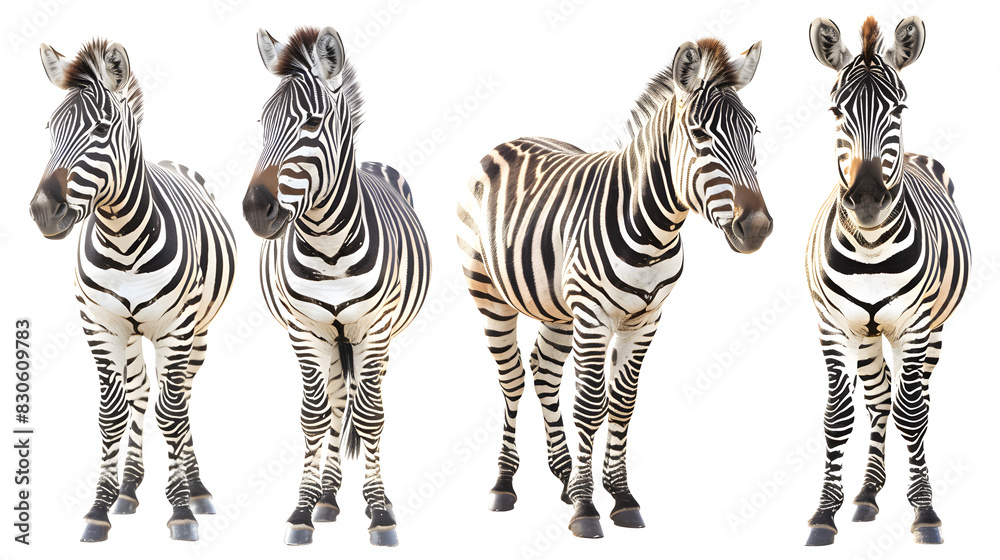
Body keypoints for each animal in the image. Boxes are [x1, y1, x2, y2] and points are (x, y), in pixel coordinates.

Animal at [28, 39, 237, 542]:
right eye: (49, 129)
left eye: (102, 130)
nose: (43, 210)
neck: (122, 239)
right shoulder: (99, 325)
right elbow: (113, 413)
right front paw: (99, 508)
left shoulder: (176, 328)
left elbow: (172, 412)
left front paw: (181, 511)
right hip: (130, 333)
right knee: (142, 391)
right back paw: (128, 489)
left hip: (198, 331)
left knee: (180, 396)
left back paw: (196, 488)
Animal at [242, 27, 431, 547]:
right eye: (262, 122)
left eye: (313, 122)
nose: (256, 210)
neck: (328, 246)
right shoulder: (305, 329)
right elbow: (315, 415)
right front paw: (302, 511)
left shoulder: (375, 327)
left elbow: (371, 417)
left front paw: (381, 513)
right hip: (331, 337)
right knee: (336, 399)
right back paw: (327, 498)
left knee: (367, 401)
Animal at [457, 38, 772, 538]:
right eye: (699, 136)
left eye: (753, 132)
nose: (757, 228)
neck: (654, 229)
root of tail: (512, 139)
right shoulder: (594, 316)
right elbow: (590, 404)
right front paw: (587, 509)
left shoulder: (645, 320)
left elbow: (622, 405)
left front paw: (620, 497)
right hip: (490, 295)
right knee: (512, 378)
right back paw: (505, 485)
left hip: (556, 308)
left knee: (544, 371)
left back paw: (565, 475)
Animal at [804, 16, 970, 546]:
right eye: (836, 110)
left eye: (898, 108)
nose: (867, 200)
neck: (871, 247)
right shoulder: (833, 327)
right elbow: (839, 416)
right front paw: (824, 513)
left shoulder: (914, 326)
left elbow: (912, 414)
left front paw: (926, 514)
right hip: (867, 334)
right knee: (879, 400)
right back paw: (866, 495)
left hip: (933, 331)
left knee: (915, 403)